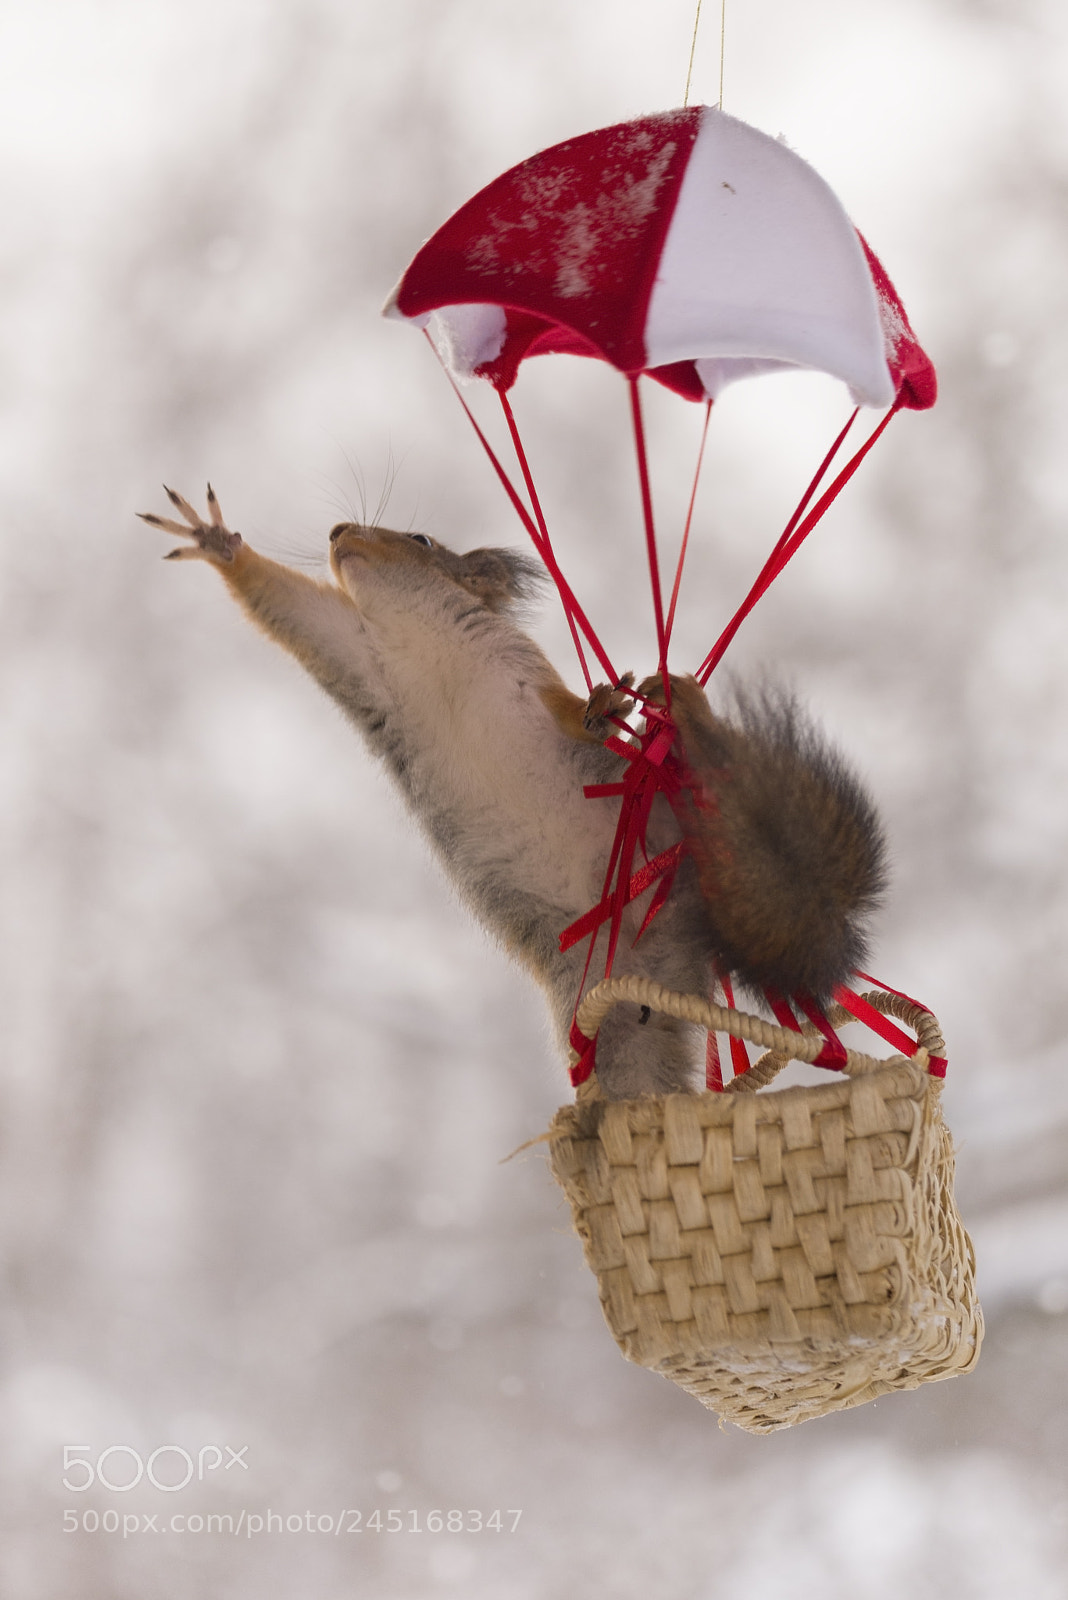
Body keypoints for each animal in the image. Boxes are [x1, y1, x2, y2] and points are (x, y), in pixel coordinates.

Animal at [140, 486, 885, 1100]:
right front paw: (218, 541)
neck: (423, 636)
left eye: (422, 540)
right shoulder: (356, 656)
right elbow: (290, 607)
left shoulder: (529, 679)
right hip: (607, 1012)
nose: (338, 530)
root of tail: (676, 929)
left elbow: (572, 712)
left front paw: (606, 704)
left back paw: (687, 714)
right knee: (637, 1078)